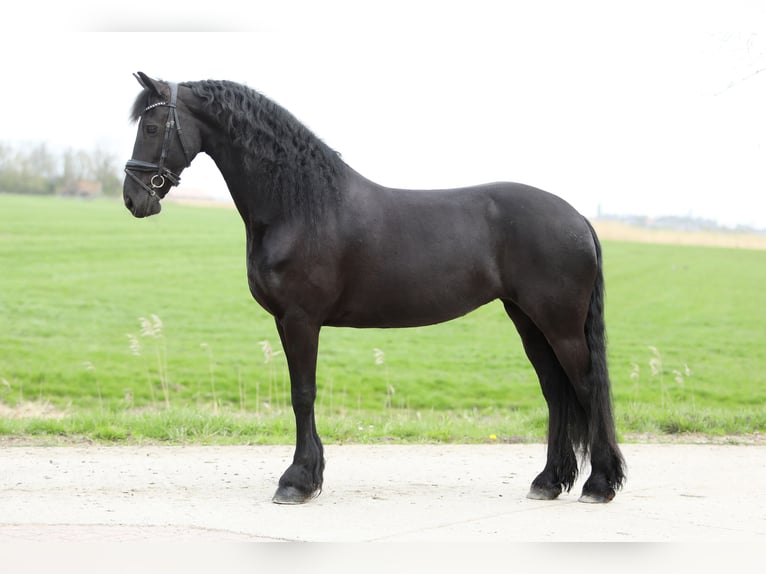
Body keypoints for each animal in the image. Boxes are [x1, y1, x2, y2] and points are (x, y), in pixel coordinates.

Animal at [123, 72, 625, 504]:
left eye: (152, 125)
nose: (133, 198)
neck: (301, 205)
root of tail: (579, 218)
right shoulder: (287, 321)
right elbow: (301, 393)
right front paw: (309, 476)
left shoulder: (300, 319)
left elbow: (302, 394)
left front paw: (296, 482)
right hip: (527, 319)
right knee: (555, 390)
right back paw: (549, 481)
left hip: (559, 324)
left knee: (585, 386)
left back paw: (599, 484)